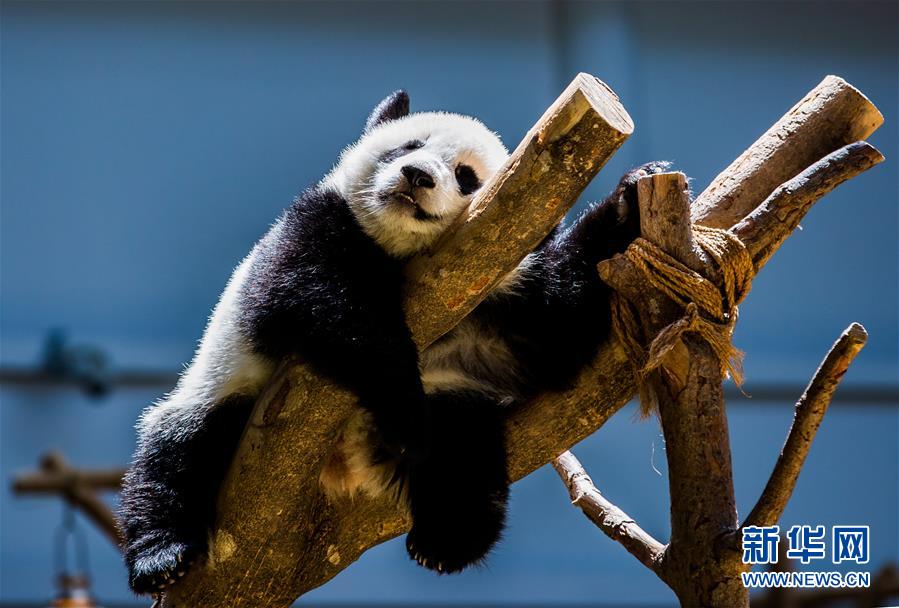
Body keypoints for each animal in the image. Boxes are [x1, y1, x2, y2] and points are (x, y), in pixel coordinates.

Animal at [119, 89, 665, 594]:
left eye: (466, 176)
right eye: (410, 146)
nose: (418, 175)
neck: (401, 254)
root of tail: (344, 469)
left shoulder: (497, 296)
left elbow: (559, 333)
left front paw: (631, 200)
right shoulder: (313, 226)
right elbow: (320, 301)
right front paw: (401, 404)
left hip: (453, 400)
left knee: (463, 452)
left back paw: (447, 541)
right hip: (223, 388)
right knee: (175, 454)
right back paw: (161, 557)